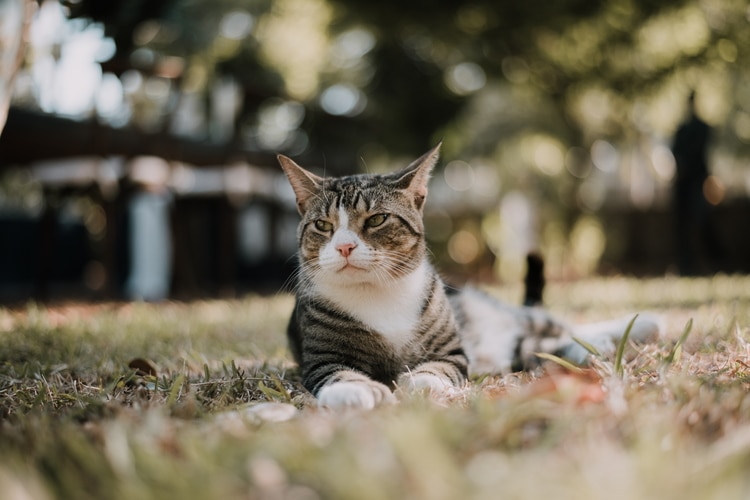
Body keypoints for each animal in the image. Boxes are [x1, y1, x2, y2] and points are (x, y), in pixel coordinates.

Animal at [280, 143, 660, 408]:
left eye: (376, 219)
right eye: (323, 225)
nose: (344, 246)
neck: (376, 292)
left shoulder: (452, 353)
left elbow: (437, 370)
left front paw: (419, 384)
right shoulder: (323, 359)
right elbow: (338, 373)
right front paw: (356, 391)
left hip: (514, 320)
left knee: (560, 324)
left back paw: (639, 326)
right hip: (517, 350)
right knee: (543, 345)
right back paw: (593, 348)